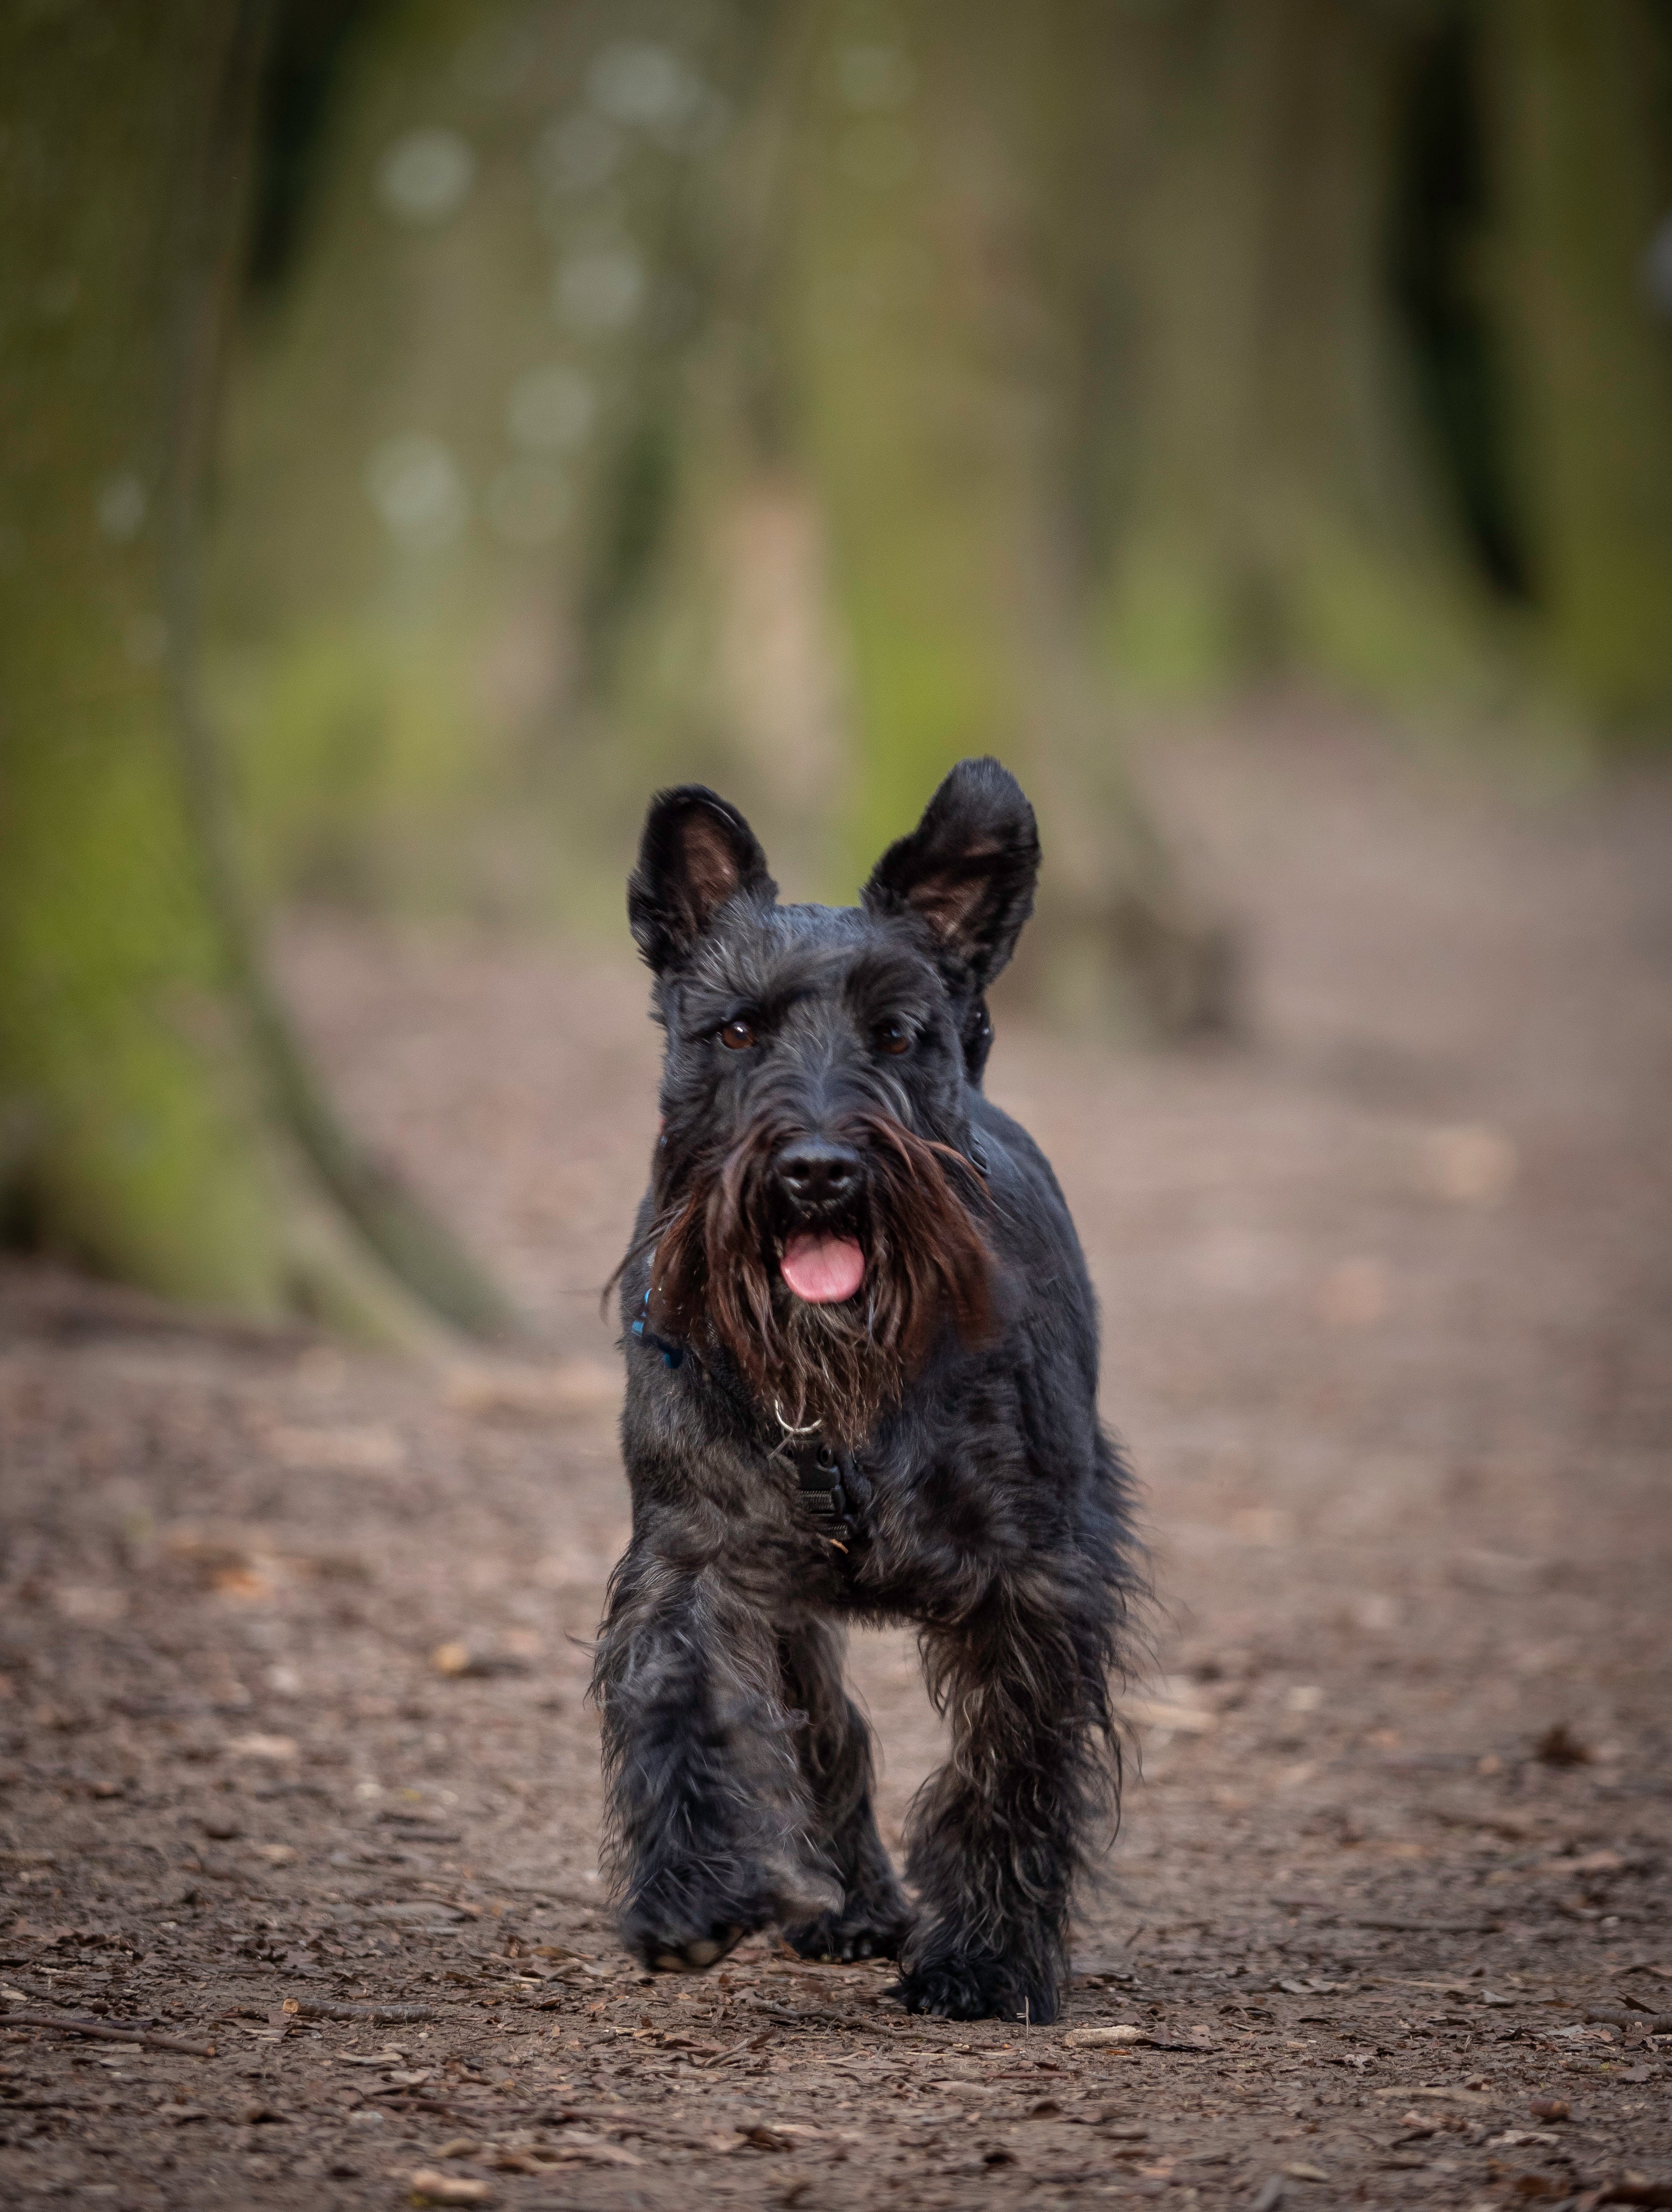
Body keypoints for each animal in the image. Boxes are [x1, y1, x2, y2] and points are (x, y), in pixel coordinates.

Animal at [592, 761, 1132, 2026]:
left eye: (894, 1033)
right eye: (737, 1028)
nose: (819, 1172)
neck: (837, 1387)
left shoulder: (1035, 1576)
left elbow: (1008, 1767)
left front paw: (987, 1958)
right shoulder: (700, 1549)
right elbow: (680, 1697)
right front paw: (688, 1893)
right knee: (823, 1726)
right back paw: (845, 1899)